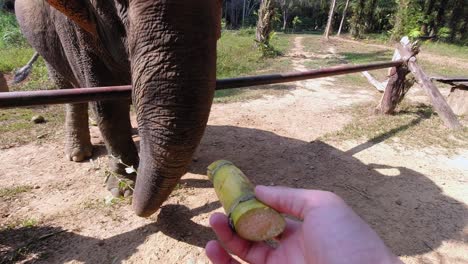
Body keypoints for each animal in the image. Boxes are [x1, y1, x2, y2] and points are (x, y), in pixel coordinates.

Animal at [12, 0, 221, 217]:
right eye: (120, 3)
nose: (166, 209)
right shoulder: (74, 27)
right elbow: (105, 98)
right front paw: (124, 189)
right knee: (67, 86)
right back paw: (78, 155)